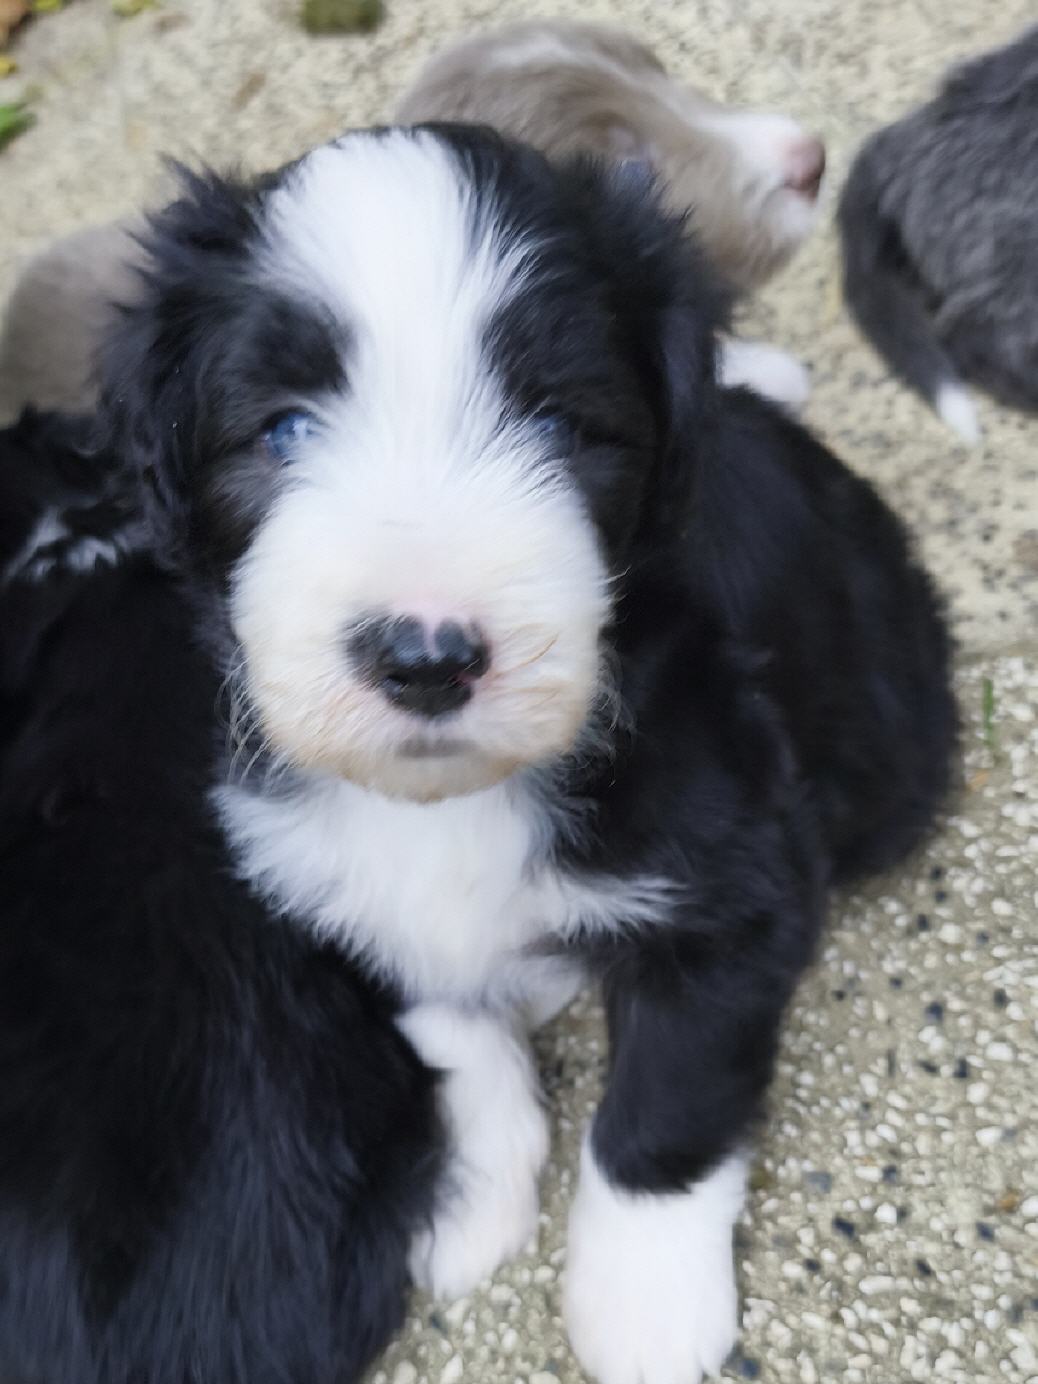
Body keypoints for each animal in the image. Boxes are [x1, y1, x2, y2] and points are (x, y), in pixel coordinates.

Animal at [2, 125, 955, 1384]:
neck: (452, 799)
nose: (425, 657)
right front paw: (469, 1204)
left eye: (557, 422)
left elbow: (667, 1108)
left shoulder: (734, 877)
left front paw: (644, 1308)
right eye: (283, 428)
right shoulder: (324, 875)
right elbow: (451, 1026)